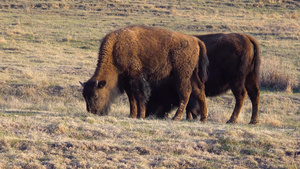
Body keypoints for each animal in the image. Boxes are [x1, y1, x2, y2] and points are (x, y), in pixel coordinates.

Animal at [81, 25, 210, 121]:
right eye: (84, 96)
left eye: (95, 95)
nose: (92, 111)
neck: (115, 48)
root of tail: (195, 40)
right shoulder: (127, 82)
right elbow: (131, 98)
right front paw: (132, 115)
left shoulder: (136, 77)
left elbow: (139, 96)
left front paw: (141, 115)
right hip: (192, 75)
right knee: (199, 91)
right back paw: (203, 118)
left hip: (182, 75)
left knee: (185, 93)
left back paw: (176, 117)